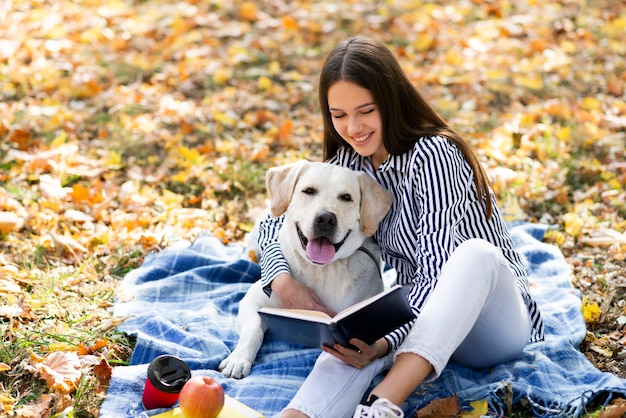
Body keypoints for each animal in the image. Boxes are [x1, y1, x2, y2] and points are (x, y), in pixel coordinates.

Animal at [218, 160, 390, 378]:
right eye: (308, 191)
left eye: (346, 197)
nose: (325, 219)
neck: (323, 270)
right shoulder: (252, 301)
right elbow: (254, 330)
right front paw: (238, 360)